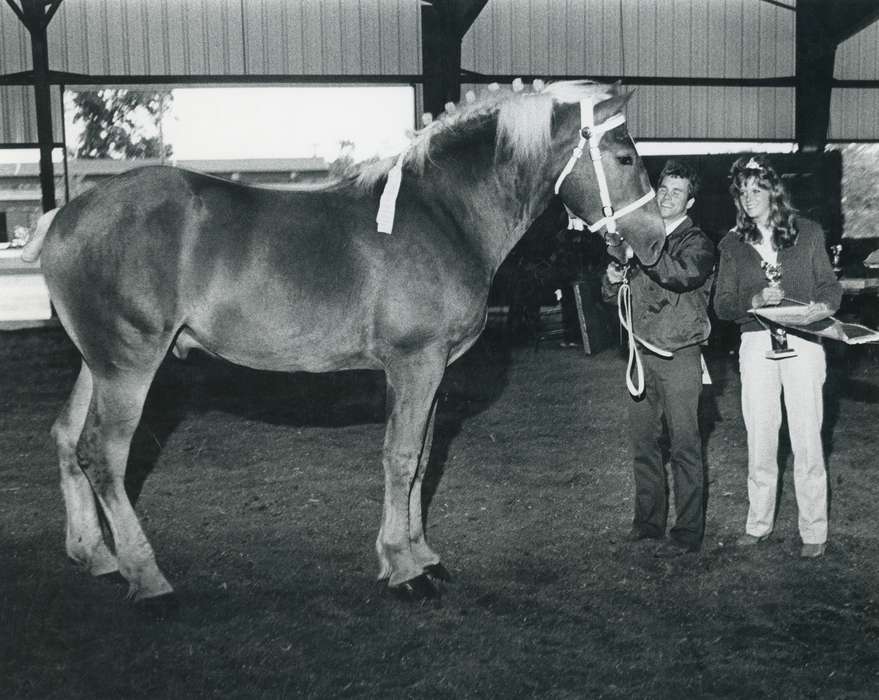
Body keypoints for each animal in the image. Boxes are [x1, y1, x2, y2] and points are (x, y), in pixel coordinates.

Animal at [24, 80, 665, 603]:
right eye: (626, 155)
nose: (656, 241)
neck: (443, 213)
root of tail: (64, 216)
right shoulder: (414, 364)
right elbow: (401, 459)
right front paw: (404, 570)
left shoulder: (433, 371)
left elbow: (421, 457)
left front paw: (422, 556)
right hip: (129, 365)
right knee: (103, 454)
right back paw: (146, 575)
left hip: (97, 364)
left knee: (68, 440)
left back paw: (97, 556)